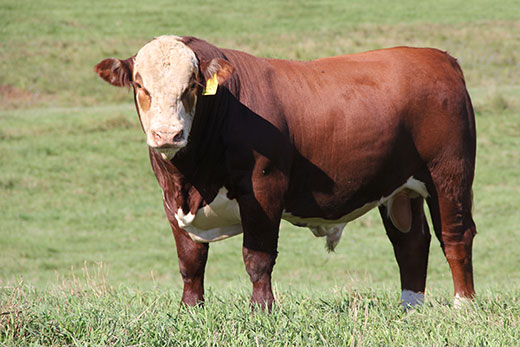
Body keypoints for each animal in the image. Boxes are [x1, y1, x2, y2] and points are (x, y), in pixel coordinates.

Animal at [95, 35, 478, 310]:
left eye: (191, 86)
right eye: (140, 85)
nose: (167, 134)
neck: (191, 180)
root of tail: (438, 57)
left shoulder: (263, 189)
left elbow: (258, 257)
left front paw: (262, 310)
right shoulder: (171, 200)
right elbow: (190, 262)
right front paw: (190, 310)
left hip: (448, 173)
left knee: (455, 235)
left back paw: (463, 305)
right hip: (399, 188)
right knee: (411, 242)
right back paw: (411, 307)